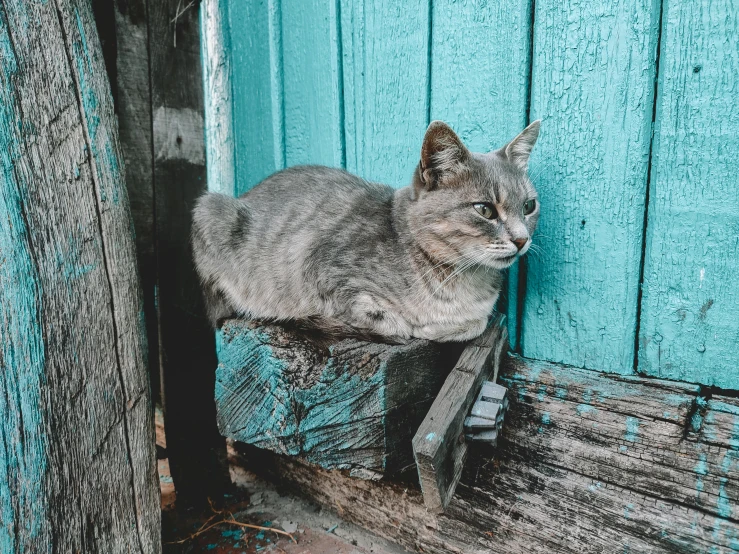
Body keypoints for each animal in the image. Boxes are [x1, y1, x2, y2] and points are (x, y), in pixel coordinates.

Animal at [194, 121, 540, 340]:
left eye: (528, 206)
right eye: (485, 209)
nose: (521, 239)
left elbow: (478, 322)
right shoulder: (322, 273)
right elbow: (394, 324)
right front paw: (423, 327)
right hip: (208, 209)